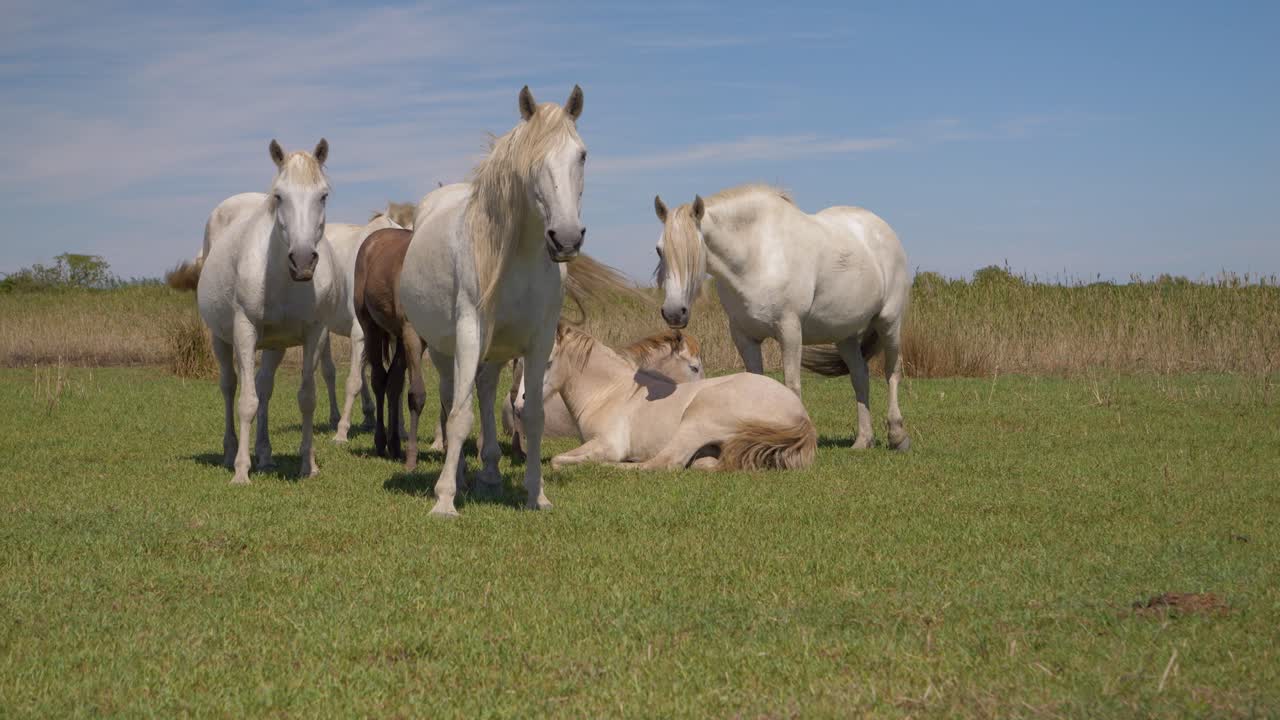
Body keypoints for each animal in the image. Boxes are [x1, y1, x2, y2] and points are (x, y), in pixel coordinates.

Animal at [197, 139, 332, 483]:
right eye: (279, 196)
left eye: (323, 195)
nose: (303, 261)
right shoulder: (245, 330)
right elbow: (246, 402)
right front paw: (241, 471)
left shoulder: (315, 332)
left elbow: (307, 398)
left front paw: (308, 465)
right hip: (221, 339)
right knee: (230, 385)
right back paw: (231, 452)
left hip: (274, 345)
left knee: (264, 386)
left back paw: (266, 456)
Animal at [399, 84, 587, 517]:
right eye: (534, 161)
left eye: (581, 154)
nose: (566, 239)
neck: (519, 254)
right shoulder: (470, 330)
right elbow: (460, 414)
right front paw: (445, 499)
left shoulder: (539, 342)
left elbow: (531, 416)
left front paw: (537, 494)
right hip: (443, 348)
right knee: (452, 396)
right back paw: (460, 475)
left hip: (497, 349)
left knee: (484, 388)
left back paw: (489, 471)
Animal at [653, 185, 911, 451]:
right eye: (659, 250)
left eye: (694, 250)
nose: (674, 312)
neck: (758, 255)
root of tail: (882, 230)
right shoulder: (744, 336)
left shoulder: (789, 330)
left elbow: (791, 385)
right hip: (845, 336)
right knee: (860, 376)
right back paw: (863, 440)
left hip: (889, 323)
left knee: (892, 372)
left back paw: (897, 436)